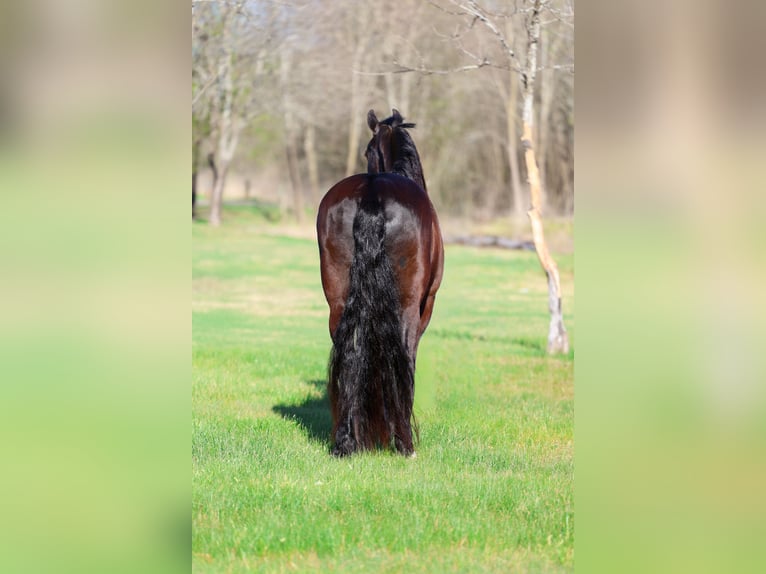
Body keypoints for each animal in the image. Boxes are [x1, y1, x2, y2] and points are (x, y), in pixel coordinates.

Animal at [316, 109, 444, 457]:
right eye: (367, 150)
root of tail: (372, 192)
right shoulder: (426, 307)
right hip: (408, 306)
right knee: (402, 353)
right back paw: (403, 441)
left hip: (337, 303)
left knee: (348, 351)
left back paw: (347, 439)